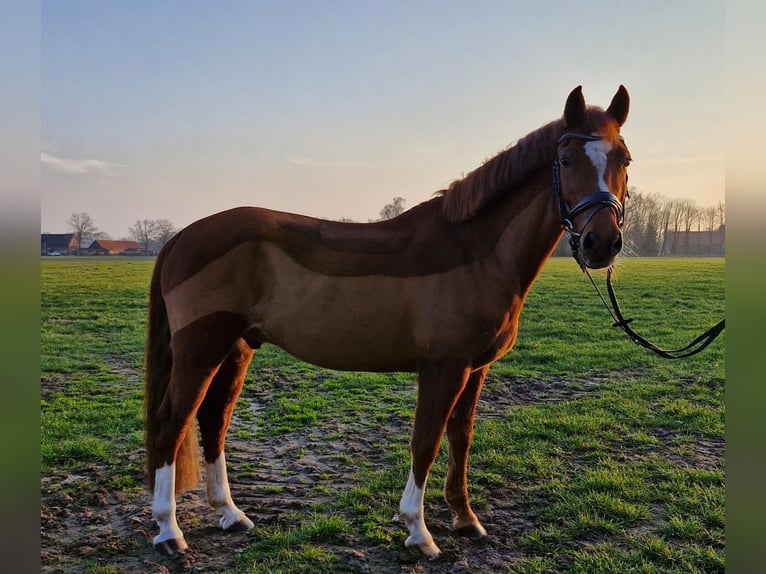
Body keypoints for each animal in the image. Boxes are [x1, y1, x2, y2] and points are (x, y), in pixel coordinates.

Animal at [144, 85, 631, 559]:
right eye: (565, 160)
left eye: (623, 160)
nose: (601, 243)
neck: (475, 251)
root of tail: (182, 237)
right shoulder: (443, 368)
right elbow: (426, 442)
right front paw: (419, 532)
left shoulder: (475, 369)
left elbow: (461, 437)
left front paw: (465, 519)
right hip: (200, 349)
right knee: (172, 423)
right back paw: (169, 531)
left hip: (236, 348)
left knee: (213, 421)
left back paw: (230, 514)